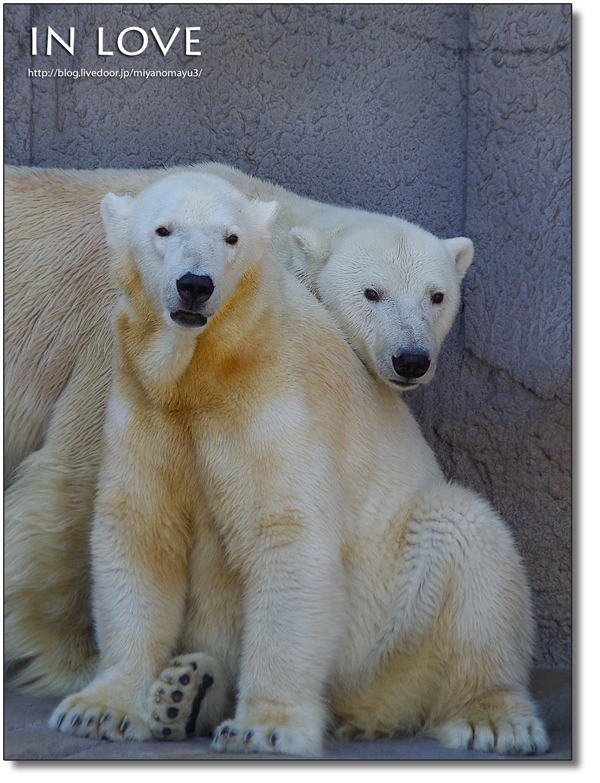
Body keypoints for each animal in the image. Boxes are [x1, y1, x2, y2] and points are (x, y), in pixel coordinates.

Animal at [4, 162, 474, 696]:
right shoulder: (121, 336)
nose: (411, 359)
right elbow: (73, 473)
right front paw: (73, 662)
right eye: (372, 293)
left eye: (437, 296)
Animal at [47, 175, 548, 756]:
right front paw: (97, 708)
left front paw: (263, 727)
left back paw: (492, 717)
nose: (195, 285)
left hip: (392, 618)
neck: (207, 369)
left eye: (231, 237)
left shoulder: (273, 398)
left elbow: (285, 538)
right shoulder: (147, 404)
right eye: (162, 230)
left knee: (470, 542)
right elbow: (140, 530)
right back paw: (188, 689)